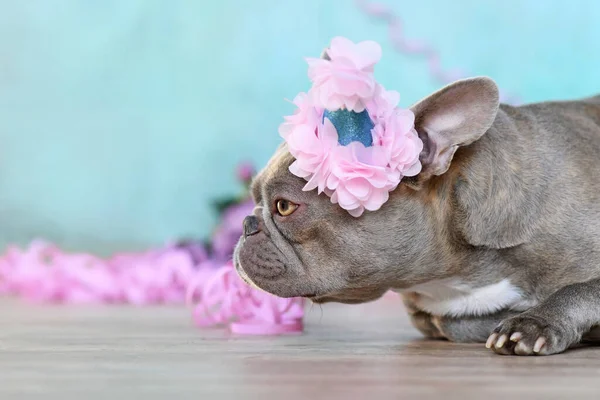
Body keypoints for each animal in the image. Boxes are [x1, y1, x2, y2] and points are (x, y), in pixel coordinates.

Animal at [232, 77, 600, 356]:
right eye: (255, 201)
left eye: (284, 206)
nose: (248, 223)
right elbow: (449, 321)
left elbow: (582, 289)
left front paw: (534, 322)